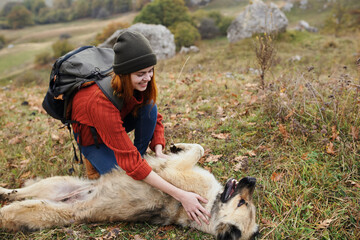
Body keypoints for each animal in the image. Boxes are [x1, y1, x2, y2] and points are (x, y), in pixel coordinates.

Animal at [0, 143, 258, 239]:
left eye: (243, 204)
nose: (253, 179)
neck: (212, 208)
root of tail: (69, 199)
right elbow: (197, 148)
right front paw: (175, 146)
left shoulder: (173, 171)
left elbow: (196, 150)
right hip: (55, 183)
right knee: (17, 191)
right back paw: (5, 190)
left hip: (31, 208)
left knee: (11, 206)